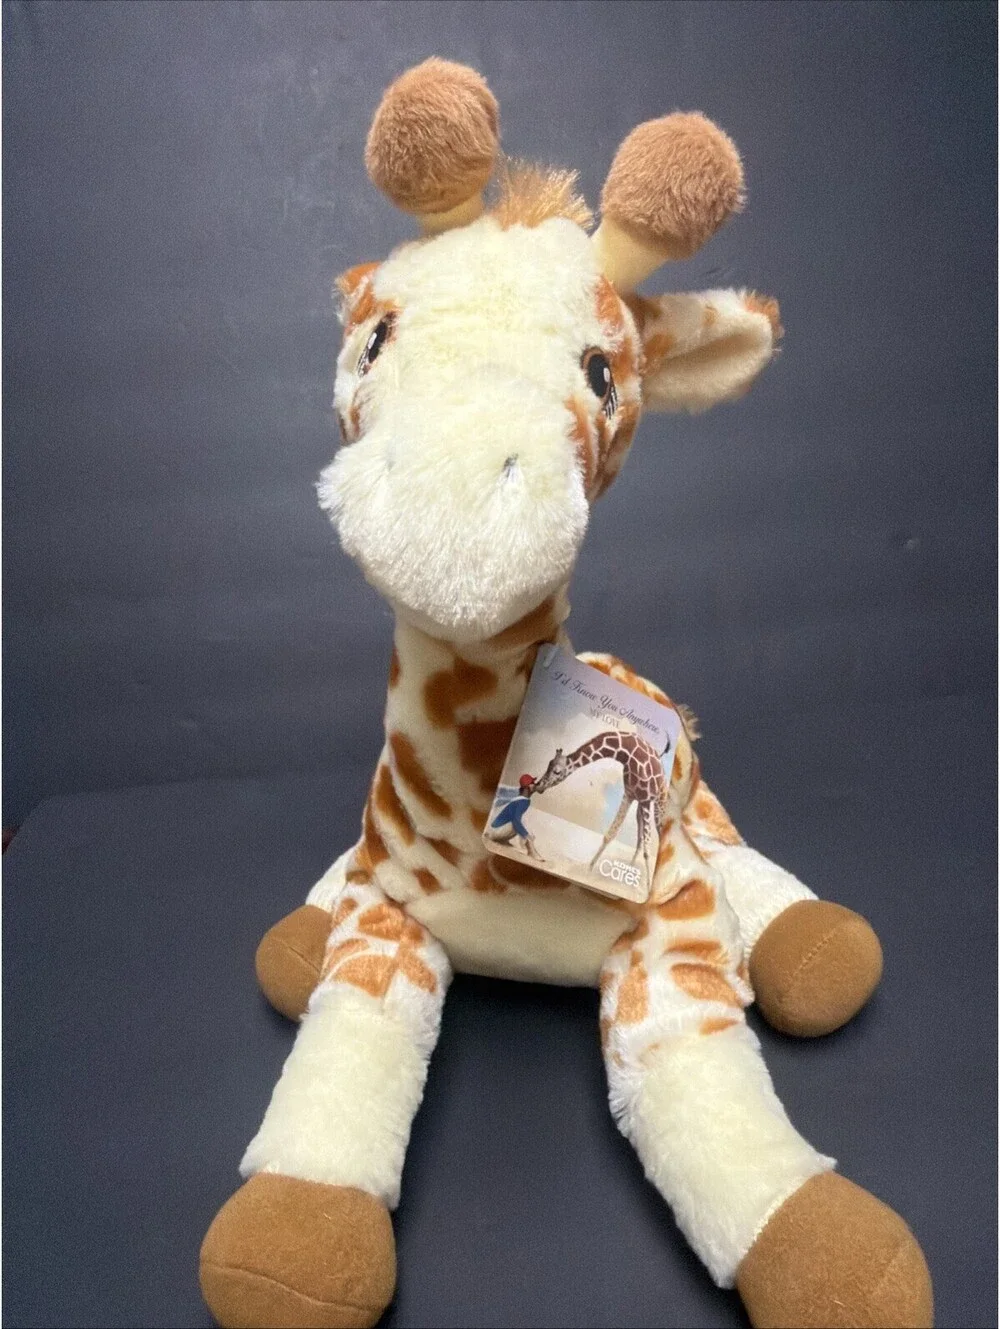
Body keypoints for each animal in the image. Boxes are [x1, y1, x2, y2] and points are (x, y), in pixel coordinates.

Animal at [533, 729, 672, 887]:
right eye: (548, 765)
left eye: (557, 771)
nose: (538, 786)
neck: (630, 755)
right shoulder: (629, 795)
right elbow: (610, 835)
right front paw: (589, 869)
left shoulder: (646, 800)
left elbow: (648, 848)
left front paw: (648, 886)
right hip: (640, 809)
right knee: (640, 837)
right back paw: (630, 869)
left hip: (658, 805)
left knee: (659, 833)